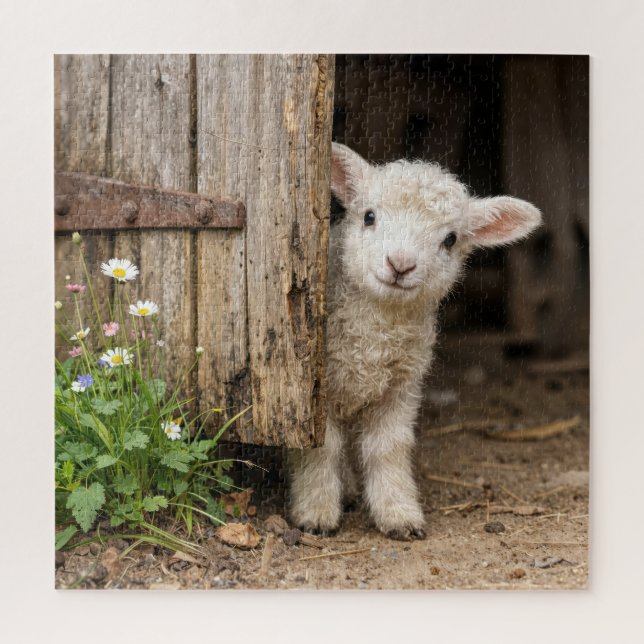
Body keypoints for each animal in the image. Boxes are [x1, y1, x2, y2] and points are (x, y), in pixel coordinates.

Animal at [289, 143, 542, 540]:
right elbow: (321, 449)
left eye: (450, 239)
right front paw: (315, 511)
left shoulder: (402, 386)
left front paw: (398, 513)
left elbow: (389, 449)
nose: (400, 264)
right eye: (369, 216)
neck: (376, 334)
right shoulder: (316, 392)